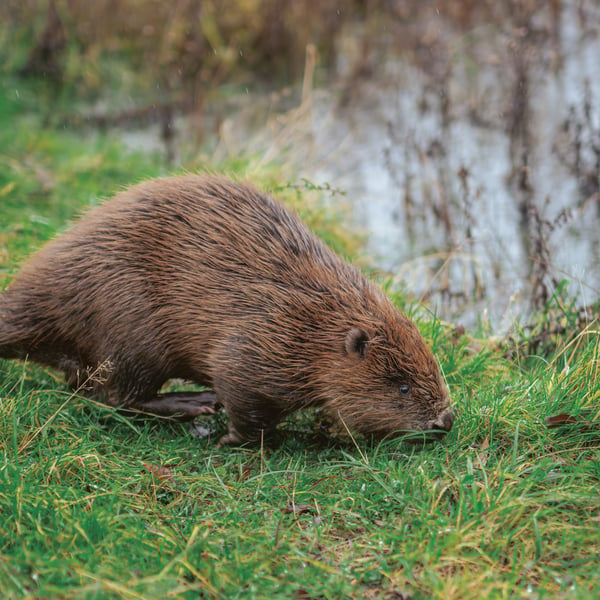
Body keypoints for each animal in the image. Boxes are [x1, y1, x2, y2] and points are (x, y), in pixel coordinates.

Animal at [0, 173, 450, 446]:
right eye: (402, 386)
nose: (445, 421)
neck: (316, 320)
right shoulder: (257, 344)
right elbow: (242, 397)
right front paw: (230, 437)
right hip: (130, 326)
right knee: (113, 396)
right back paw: (193, 403)